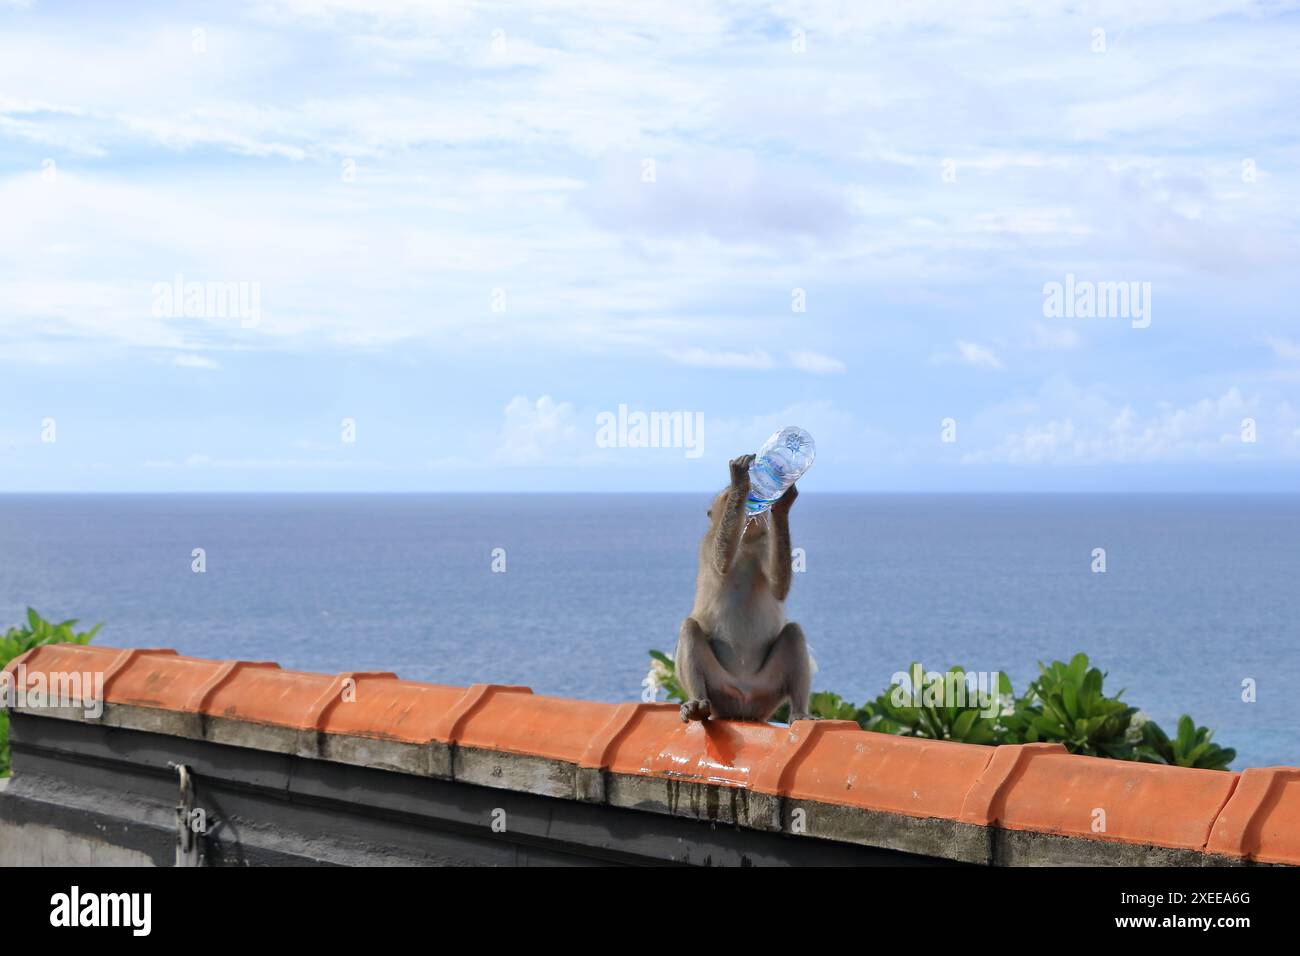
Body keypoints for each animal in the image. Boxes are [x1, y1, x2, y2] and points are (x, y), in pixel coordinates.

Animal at [674, 453, 813, 723]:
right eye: (730, 499)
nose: (753, 508)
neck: (746, 541)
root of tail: (744, 705)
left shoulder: (763, 543)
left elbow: (778, 588)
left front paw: (782, 503)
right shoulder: (709, 542)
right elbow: (721, 563)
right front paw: (740, 479)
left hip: (767, 689)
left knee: (793, 632)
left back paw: (800, 712)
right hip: (720, 689)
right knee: (689, 628)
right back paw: (696, 704)